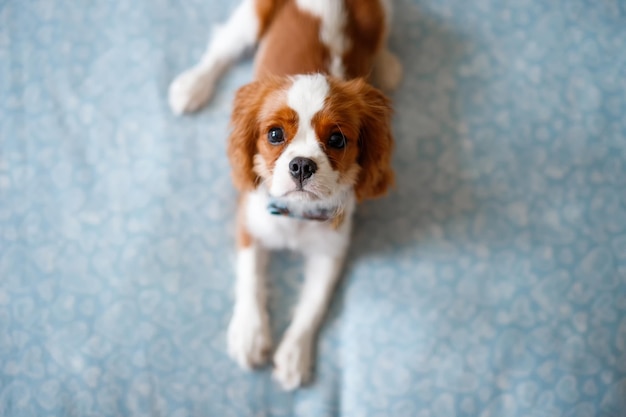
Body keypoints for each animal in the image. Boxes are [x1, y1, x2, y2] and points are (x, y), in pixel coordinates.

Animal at [167, 0, 400, 390]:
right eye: (275, 134)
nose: (302, 165)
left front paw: (293, 354)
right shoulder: (250, 224)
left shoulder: (330, 251)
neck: (296, 214)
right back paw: (193, 85)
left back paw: (387, 64)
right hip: (250, 18)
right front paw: (249, 335)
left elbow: (313, 306)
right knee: (220, 48)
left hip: (383, 14)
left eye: (337, 139)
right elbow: (251, 278)